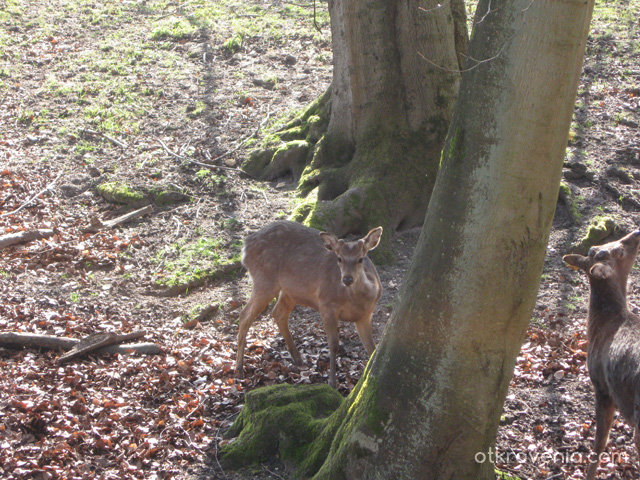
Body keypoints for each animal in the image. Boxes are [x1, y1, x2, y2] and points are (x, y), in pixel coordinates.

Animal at [236, 220, 382, 386]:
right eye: (339, 258)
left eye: (360, 259)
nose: (347, 279)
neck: (356, 301)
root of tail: (245, 246)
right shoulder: (326, 304)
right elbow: (333, 344)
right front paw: (332, 382)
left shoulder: (366, 315)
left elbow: (372, 348)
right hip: (265, 280)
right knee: (244, 315)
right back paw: (239, 368)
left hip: (290, 291)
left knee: (278, 313)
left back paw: (298, 359)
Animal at [564, 230, 640, 480]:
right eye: (619, 250)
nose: (636, 232)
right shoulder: (604, 388)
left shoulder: (601, 384)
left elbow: (600, 442)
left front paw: (588, 473)